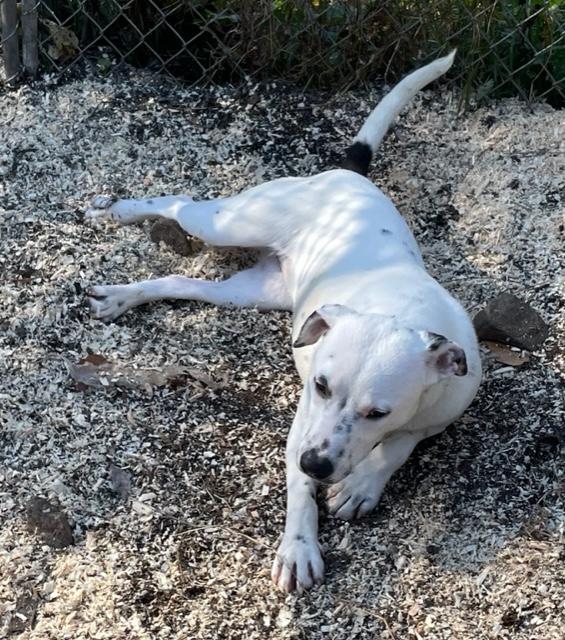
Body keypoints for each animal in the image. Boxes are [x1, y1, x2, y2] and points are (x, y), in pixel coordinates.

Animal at [85, 51, 480, 596]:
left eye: (378, 411)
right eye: (321, 385)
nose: (316, 464)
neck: (402, 309)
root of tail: (343, 174)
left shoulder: (439, 413)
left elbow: (398, 446)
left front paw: (363, 483)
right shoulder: (302, 428)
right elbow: (298, 493)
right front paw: (298, 547)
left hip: (248, 292)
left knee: (180, 279)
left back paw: (123, 296)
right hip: (230, 224)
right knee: (181, 203)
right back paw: (120, 211)